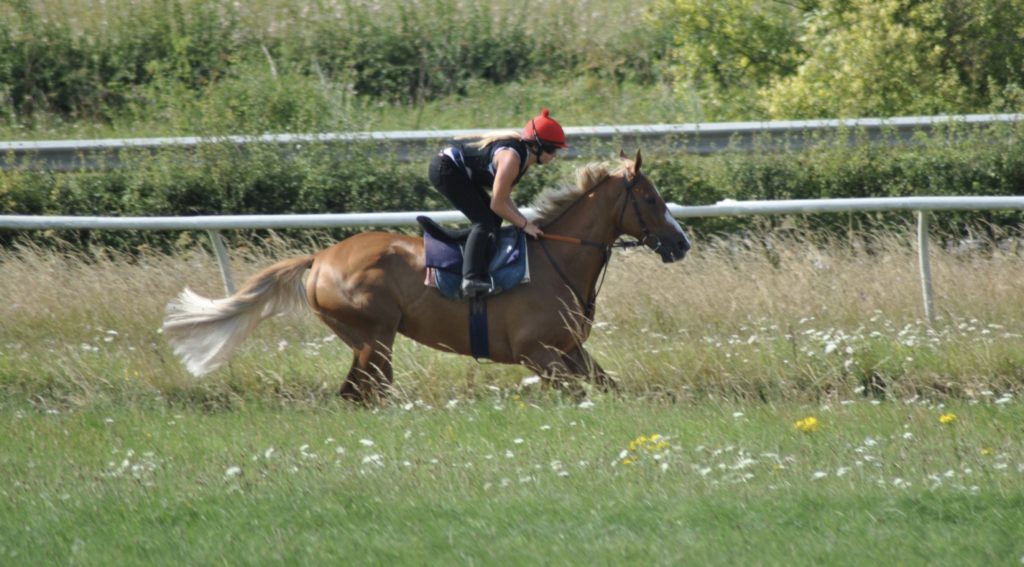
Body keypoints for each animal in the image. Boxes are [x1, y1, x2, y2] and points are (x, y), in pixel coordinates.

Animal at [163, 147, 692, 399]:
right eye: (650, 199)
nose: (681, 243)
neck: (557, 261)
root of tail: (320, 258)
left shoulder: (569, 350)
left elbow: (607, 387)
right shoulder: (537, 354)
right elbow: (578, 392)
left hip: (368, 342)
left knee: (358, 394)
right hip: (374, 337)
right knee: (364, 393)